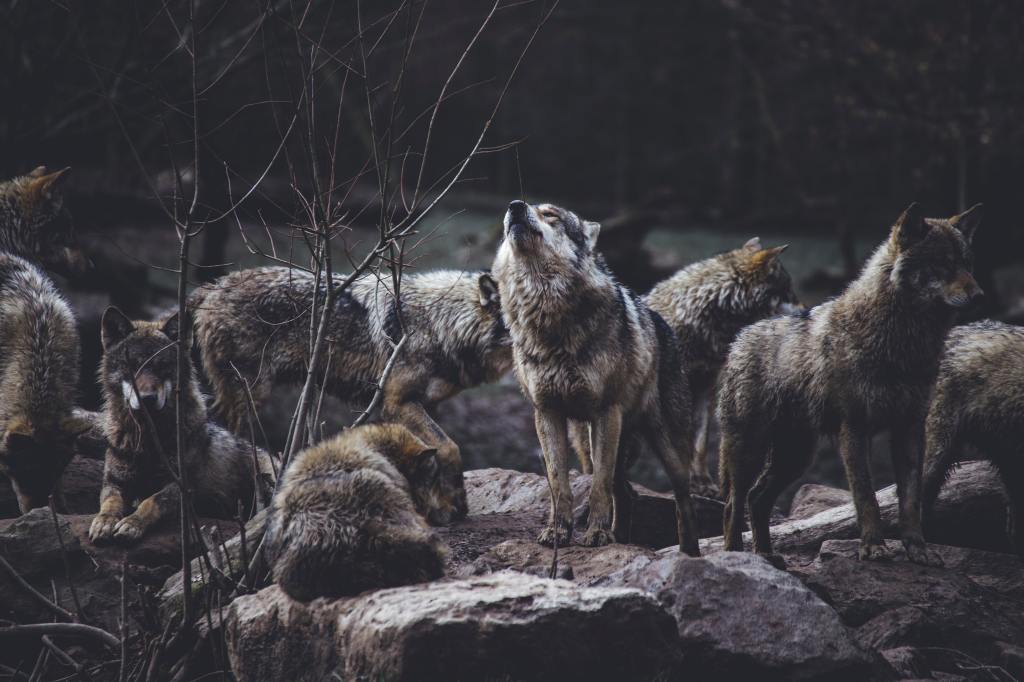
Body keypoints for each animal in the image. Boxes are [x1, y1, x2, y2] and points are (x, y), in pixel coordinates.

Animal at [89, 307, 277, 544]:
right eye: (132, 366)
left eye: (163, 367)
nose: (147, 398)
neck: (149, 440)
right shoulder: (114, 482)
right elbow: (110, 503)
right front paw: (104, 521)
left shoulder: (182, 486)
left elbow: (151, 501)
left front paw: (132, 523)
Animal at [190, 267, 512, 523]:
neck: (441, 322)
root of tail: (213, 286)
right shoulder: (397, 402)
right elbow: (450, 448)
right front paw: (456, 504)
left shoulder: (428, 405)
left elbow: (435, 455)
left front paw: (446, 506)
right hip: (249, 396)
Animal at [491, 200, 699, 554]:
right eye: (523, 207)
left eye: (551, 214)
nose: (515, 206)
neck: (547, 316)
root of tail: (663, 323)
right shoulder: (547, 413)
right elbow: (559, 484)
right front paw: (558, 532)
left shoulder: (605, 412)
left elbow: (598, 486)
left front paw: (598, 535)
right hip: (592, 440)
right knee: (626, 493)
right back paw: (623, 538)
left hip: (665, 448)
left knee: (682, 502)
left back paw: (689, 554)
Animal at [718, 203, 983, 565]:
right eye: (942, 264)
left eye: (967, 264)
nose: (979, 295)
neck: (902, 343)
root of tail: (740, 337)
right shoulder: (854, 428)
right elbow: (866, 497)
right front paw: (873, 547)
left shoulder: (910, 428)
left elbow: (910, 500)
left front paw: (918, 549)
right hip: (750, 449)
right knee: (734, 501)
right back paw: (736, 556)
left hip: (795, 457)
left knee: (757, 498)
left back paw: (766, 556)